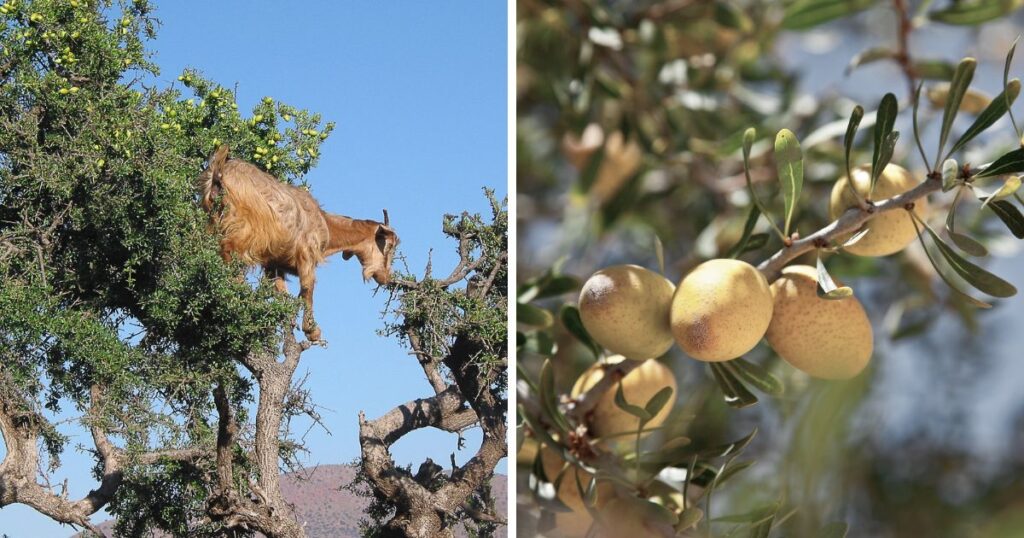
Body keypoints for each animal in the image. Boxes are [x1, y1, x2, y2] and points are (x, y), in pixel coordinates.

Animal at [196, 143, 399, 340]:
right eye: (388, 246)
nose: (386, 278)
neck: (325, 224)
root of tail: (219, 171)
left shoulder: (273, 263)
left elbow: (281, 290)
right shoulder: (306, 255)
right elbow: (308, 289)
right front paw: (312, 330)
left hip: (212, 221)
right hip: (245, 231)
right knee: (227, 248)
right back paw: (239, 289)